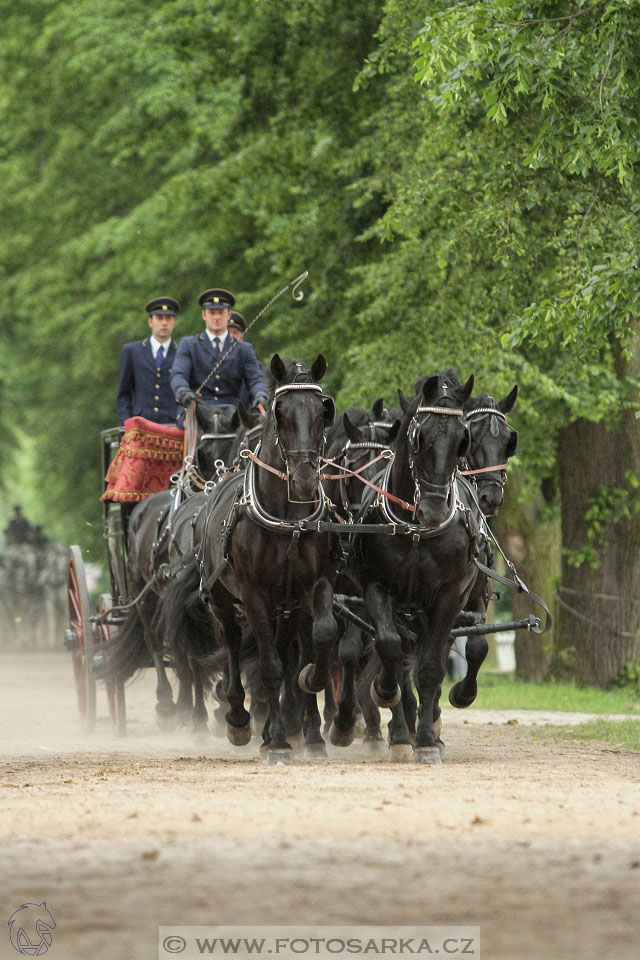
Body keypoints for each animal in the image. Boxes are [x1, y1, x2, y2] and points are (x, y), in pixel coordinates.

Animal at [194, 356, 336, 760]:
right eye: (281, 412)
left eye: (322, 411)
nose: (304, 480)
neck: (288, 518)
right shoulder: (254, 594)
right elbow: (269, 666)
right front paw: (276, 742)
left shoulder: (313, 587)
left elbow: (320, 638)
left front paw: (311, 686)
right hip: (222, 600)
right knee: (231, 643)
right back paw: (241, 719)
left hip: (287, 607)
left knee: (288, 649)